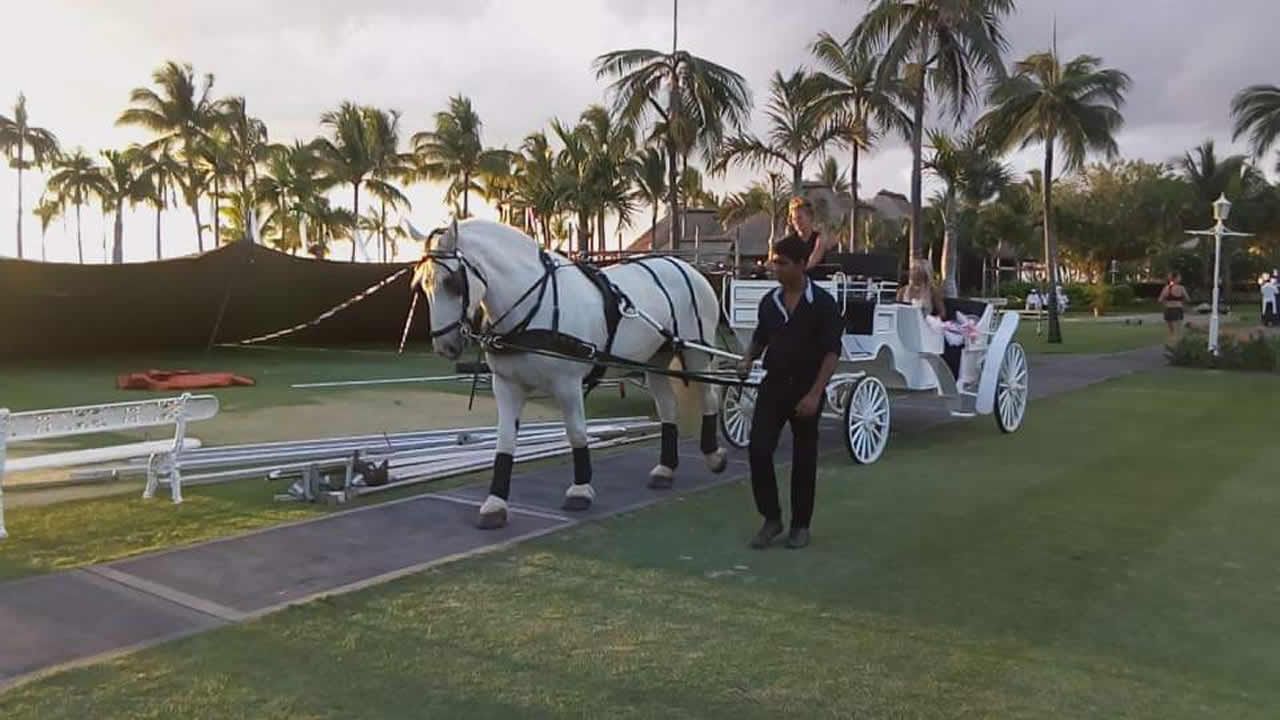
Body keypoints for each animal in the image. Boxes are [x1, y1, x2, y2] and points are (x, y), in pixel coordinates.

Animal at [412, 219, 732, 527]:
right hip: (655, 358)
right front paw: (495, 504)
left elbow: (577, 433)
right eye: (422, 286)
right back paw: (665, 469)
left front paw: (580, 490)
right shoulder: (507, 385)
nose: (445, 345)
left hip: (696, 350)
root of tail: (685, 266)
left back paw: (714, 454)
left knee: (710, 396)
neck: (533, 309)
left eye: (452, 282)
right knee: (667, 407)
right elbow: (505, 441)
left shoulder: (567, 384)